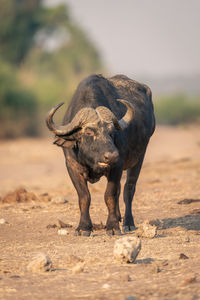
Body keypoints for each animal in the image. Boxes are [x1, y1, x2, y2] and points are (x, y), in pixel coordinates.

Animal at [46, 74, 155, 236]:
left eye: (111, 132)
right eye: (88, 132)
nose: (112, 156)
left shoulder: (117, 166)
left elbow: (110, 195)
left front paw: (112, 226)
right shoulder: (72, 166)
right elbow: (84, 196)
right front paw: (84, 227)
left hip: (139, 157)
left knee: (128, 189)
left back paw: (128, 223)